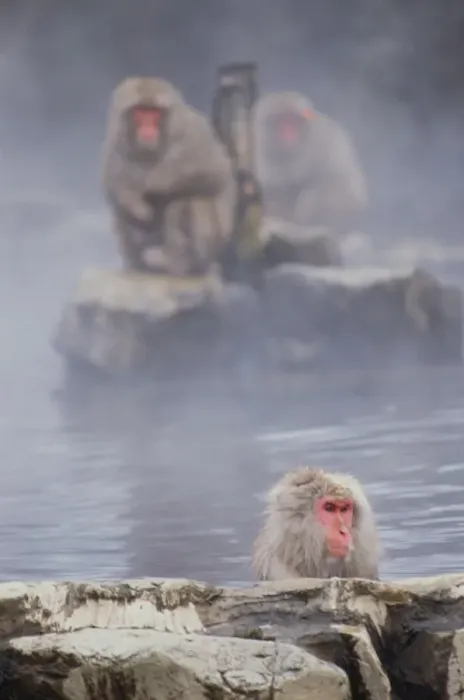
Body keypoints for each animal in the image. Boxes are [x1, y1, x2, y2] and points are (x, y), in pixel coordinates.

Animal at [101, 77, 237, 277]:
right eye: (140, 112)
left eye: (154, 113)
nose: (147, 128)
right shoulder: (113, 147)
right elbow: (115, 194)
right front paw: (133, 203)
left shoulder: (195, 133)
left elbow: (217, 177)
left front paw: (154, 197)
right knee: (122, 215)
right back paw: (138, 265)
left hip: (209, 248)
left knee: (185, 201)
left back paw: (175, 261)